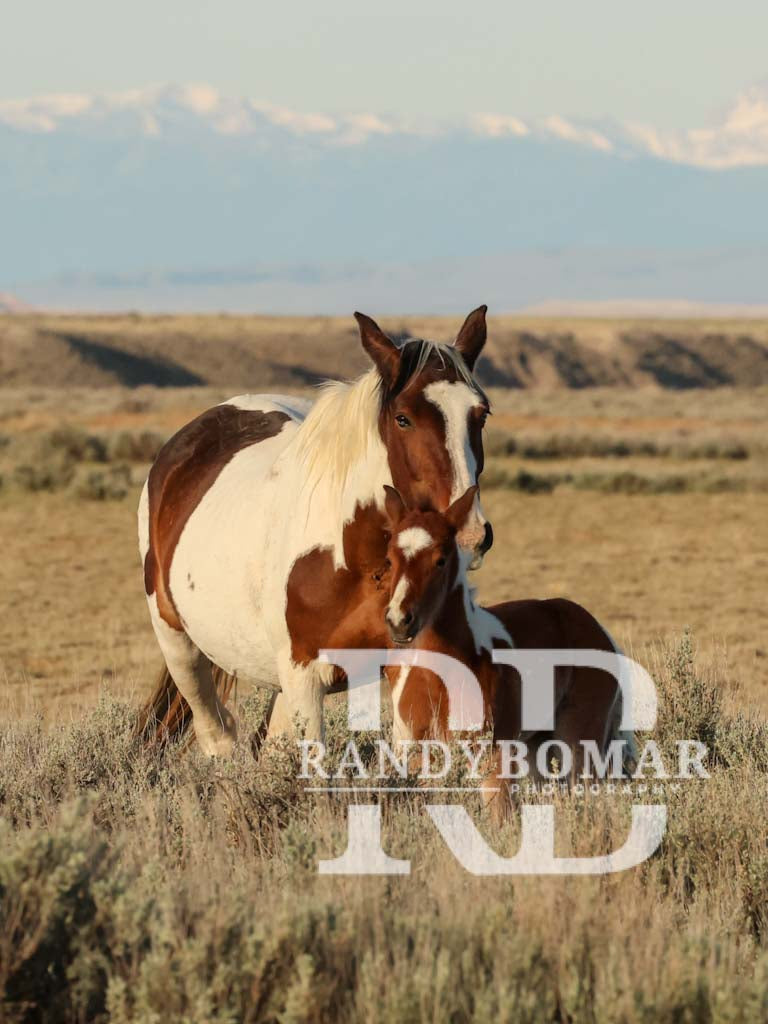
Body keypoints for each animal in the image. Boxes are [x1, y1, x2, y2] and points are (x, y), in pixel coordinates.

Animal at [138, 307, 494, 755]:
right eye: (403, 418)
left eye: (480, 414)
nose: (471, 534)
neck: (357, 558)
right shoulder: (303, 677)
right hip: (180, 646)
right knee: (218, 736)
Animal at [379, 485, 635, 807]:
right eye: (389, 560)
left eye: (440, 560)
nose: (399, 621)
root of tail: (599, 630)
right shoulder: (419, 755)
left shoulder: (495, 760)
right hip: (538, 746)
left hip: (579, 743)